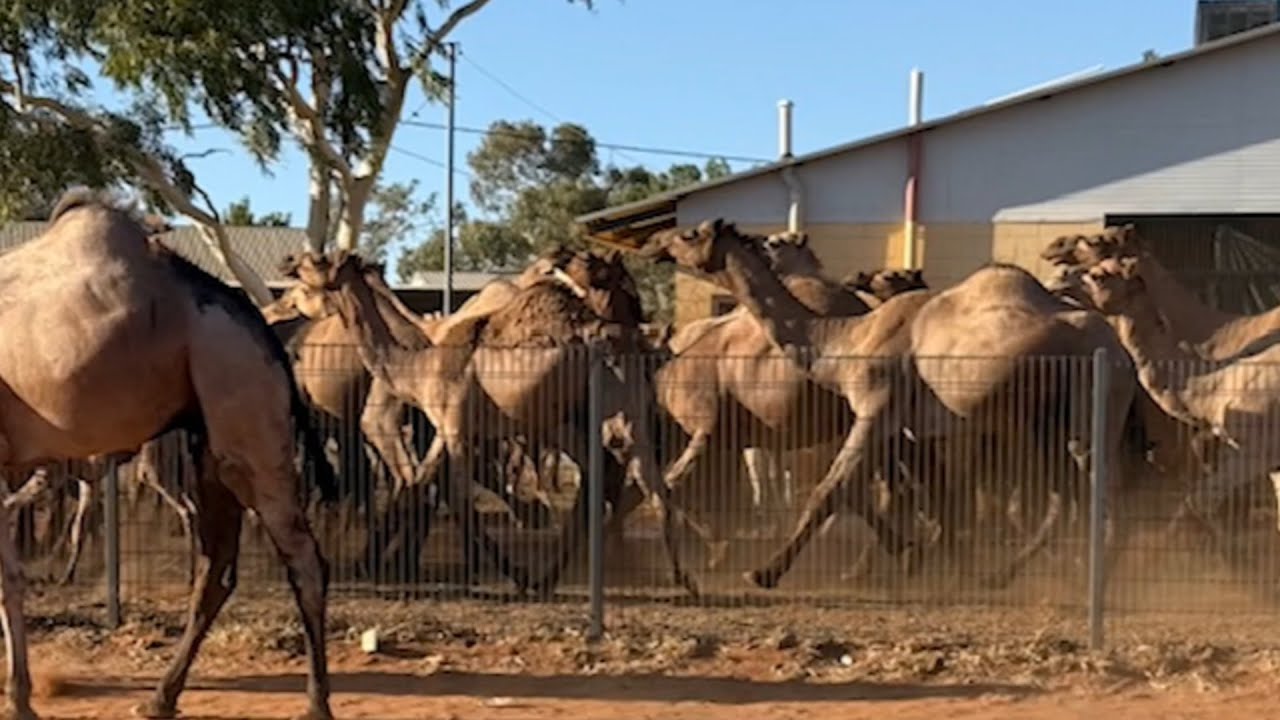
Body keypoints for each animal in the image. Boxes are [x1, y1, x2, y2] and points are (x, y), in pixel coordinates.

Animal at [0, 189, 334, 720]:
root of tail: (257, 325)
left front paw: (19, 699)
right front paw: (20, 696)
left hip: (244, 403)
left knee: (303, 557)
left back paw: (316, 704)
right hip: (210, 440)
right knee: (217, 565)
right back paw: (160, 697)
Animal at [638, 219, 1137, 592]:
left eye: (690, 235)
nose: (653, 243)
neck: (844, 340)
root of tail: (1122, 354)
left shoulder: (875, 408)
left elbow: (829, 489)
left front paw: (763, 573)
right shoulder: (910, 428)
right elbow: (934, 498)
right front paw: (945, 569)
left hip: (1093, 404)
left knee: (1102, 490)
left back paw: (1098, 579)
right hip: (1046, 422)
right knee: (1064, 496)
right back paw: (1004, 575)